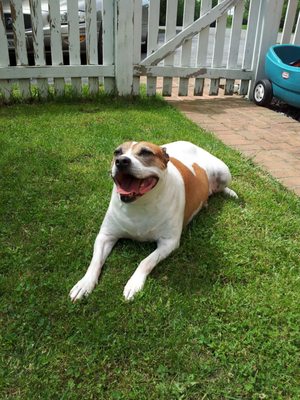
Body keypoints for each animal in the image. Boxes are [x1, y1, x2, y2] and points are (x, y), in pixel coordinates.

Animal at [69, 141, 237, 300]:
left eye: (145, 152)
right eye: (117, 152)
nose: (121, 161)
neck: (140, 204)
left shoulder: (169, 243)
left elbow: (146, 261)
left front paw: (134, 283)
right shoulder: (105, 236)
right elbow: (95, 261)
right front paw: (84, 283)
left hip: (224, 172)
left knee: (222, 186)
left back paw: (229, 193)